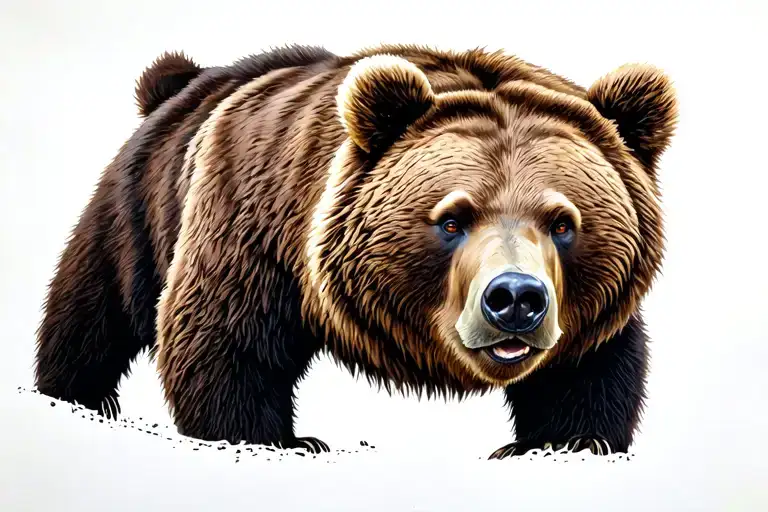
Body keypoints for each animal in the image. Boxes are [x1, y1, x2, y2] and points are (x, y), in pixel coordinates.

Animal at [33, 43, 677, 458]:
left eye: (563, 222)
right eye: (452, 219)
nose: (515, 298)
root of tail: (183, 81)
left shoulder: (590, 316)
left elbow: (590, 373)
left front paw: (562, 442)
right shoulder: (254, 226)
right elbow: (225, 337)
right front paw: (277, 439)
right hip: (137, 211)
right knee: (90, 314)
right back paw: (75, 399)